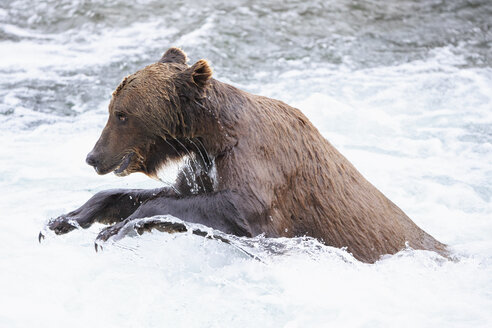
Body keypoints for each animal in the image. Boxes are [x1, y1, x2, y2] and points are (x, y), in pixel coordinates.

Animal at [43, 46, 450, 264]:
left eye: (121, 114)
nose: (93, 156)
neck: (212, 136)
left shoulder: (261, 166)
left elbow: (241, 208)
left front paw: (115, 230)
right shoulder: (203, 169)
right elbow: (162, 194)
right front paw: (66, 219)